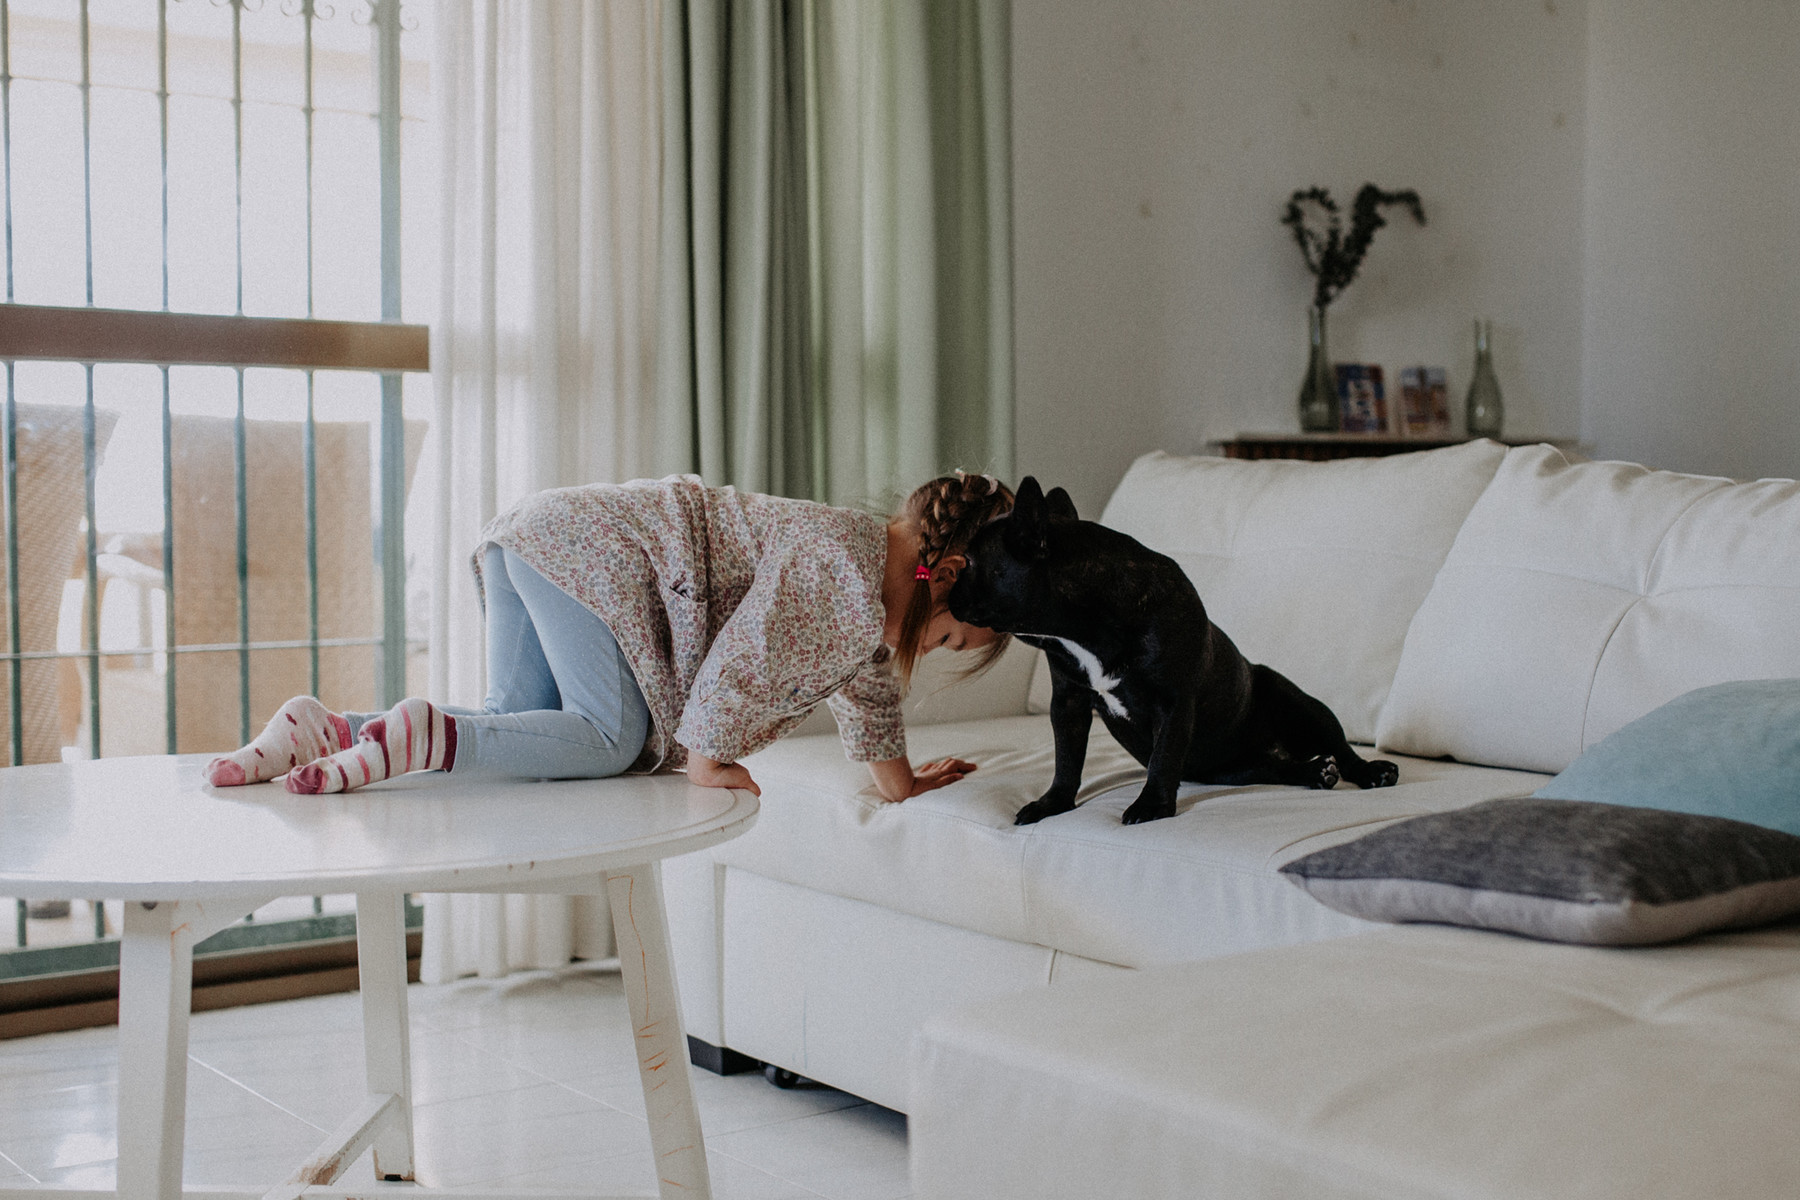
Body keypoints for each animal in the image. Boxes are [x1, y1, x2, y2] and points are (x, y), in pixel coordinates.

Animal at [950, 478, 1396, 827]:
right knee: (1275, 768)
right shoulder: (1069, 702)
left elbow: (1163, 757)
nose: (949, 584)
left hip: (1297, 702)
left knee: (1340, 747)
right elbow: (1067, 760)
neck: (1082, 629)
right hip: (1231, 768)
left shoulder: (1172, 701)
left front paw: (1152, 806)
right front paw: (1053, 803)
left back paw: (1370, 771)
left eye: (969, 561)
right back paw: (1314, 772)